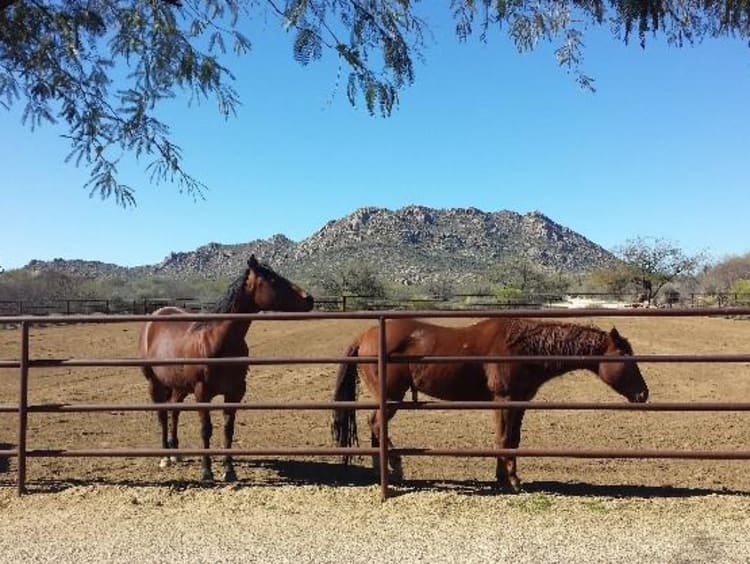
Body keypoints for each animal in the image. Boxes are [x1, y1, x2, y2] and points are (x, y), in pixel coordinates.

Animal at [139, 256, 314, 480]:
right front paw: (206, 471)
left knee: (174, 411)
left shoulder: (235, 392)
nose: (309, 299)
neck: (217, 340)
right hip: (155, 384)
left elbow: (228, 430)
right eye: (273, 280)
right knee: (162, 415)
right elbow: (206, 429)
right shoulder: (202, 393)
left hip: (179, 386)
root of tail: (157, 315)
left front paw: (229, 471)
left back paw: (176, 453)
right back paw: (165, 458)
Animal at [332, 316, 648, 492]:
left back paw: (384, 469)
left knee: (375, 425)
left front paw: (503, 478)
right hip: (391, 397)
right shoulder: (504, 400)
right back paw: (392, 466)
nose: (643, 395)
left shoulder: (518, 403)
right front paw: (513, 481)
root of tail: (364, 336)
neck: (523, 348)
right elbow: (504, 439)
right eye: (626, 359)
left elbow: (510, 440)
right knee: (376, 423)